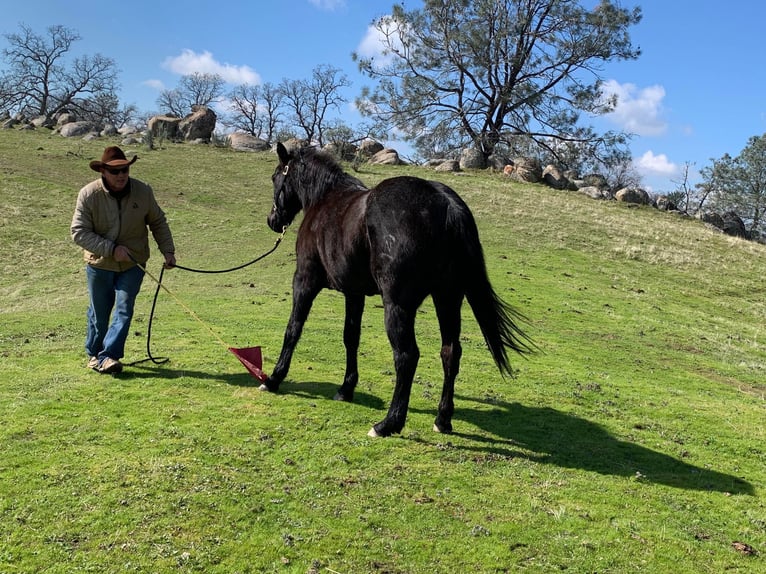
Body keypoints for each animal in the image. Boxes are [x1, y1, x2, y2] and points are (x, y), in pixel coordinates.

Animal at [264, 143, 536, 436]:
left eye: (275, 176)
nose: (272, 220)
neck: (325, 200)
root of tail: (446, 204)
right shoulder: (354, 293)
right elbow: (351, 337)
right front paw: (346, 388)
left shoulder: (305, 281)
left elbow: (293, 329)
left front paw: (274, 378)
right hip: (447, 299)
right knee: (450, 352)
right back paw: (442, 419)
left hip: (398, 305)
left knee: (407, 356)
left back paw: (389, 423)